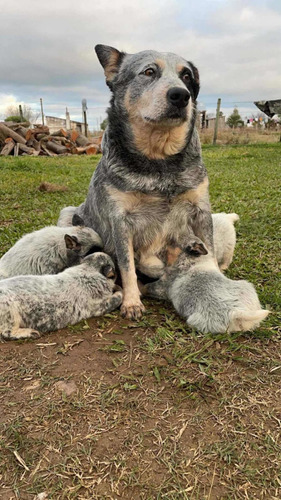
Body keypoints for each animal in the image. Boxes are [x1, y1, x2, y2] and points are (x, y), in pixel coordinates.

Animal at [73, 46, 213, 320]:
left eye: (187, 76)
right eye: (149, 72)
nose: (181, 95)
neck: (159, 161)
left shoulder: (202, 209)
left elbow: (213, 253)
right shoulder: (120, 220)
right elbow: (127, 266)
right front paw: (131, 302)